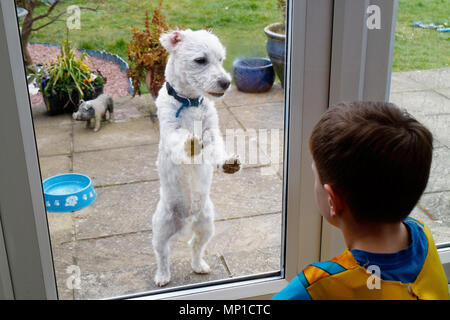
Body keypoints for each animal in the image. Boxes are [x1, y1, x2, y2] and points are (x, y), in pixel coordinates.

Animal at [152, 28, 243, 286]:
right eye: (200, 60)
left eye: (221, 59)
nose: (226, 82)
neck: (190, 101)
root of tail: (186, 222)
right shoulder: (170, 130)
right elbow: (180, 138)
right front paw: (190, 143)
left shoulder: (212, 132)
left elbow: (216, 149)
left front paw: (227, 163)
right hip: (161, 227)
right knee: (162, 253)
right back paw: (162, 275)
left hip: (206, 224)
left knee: (195, 245)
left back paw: (199, 266)